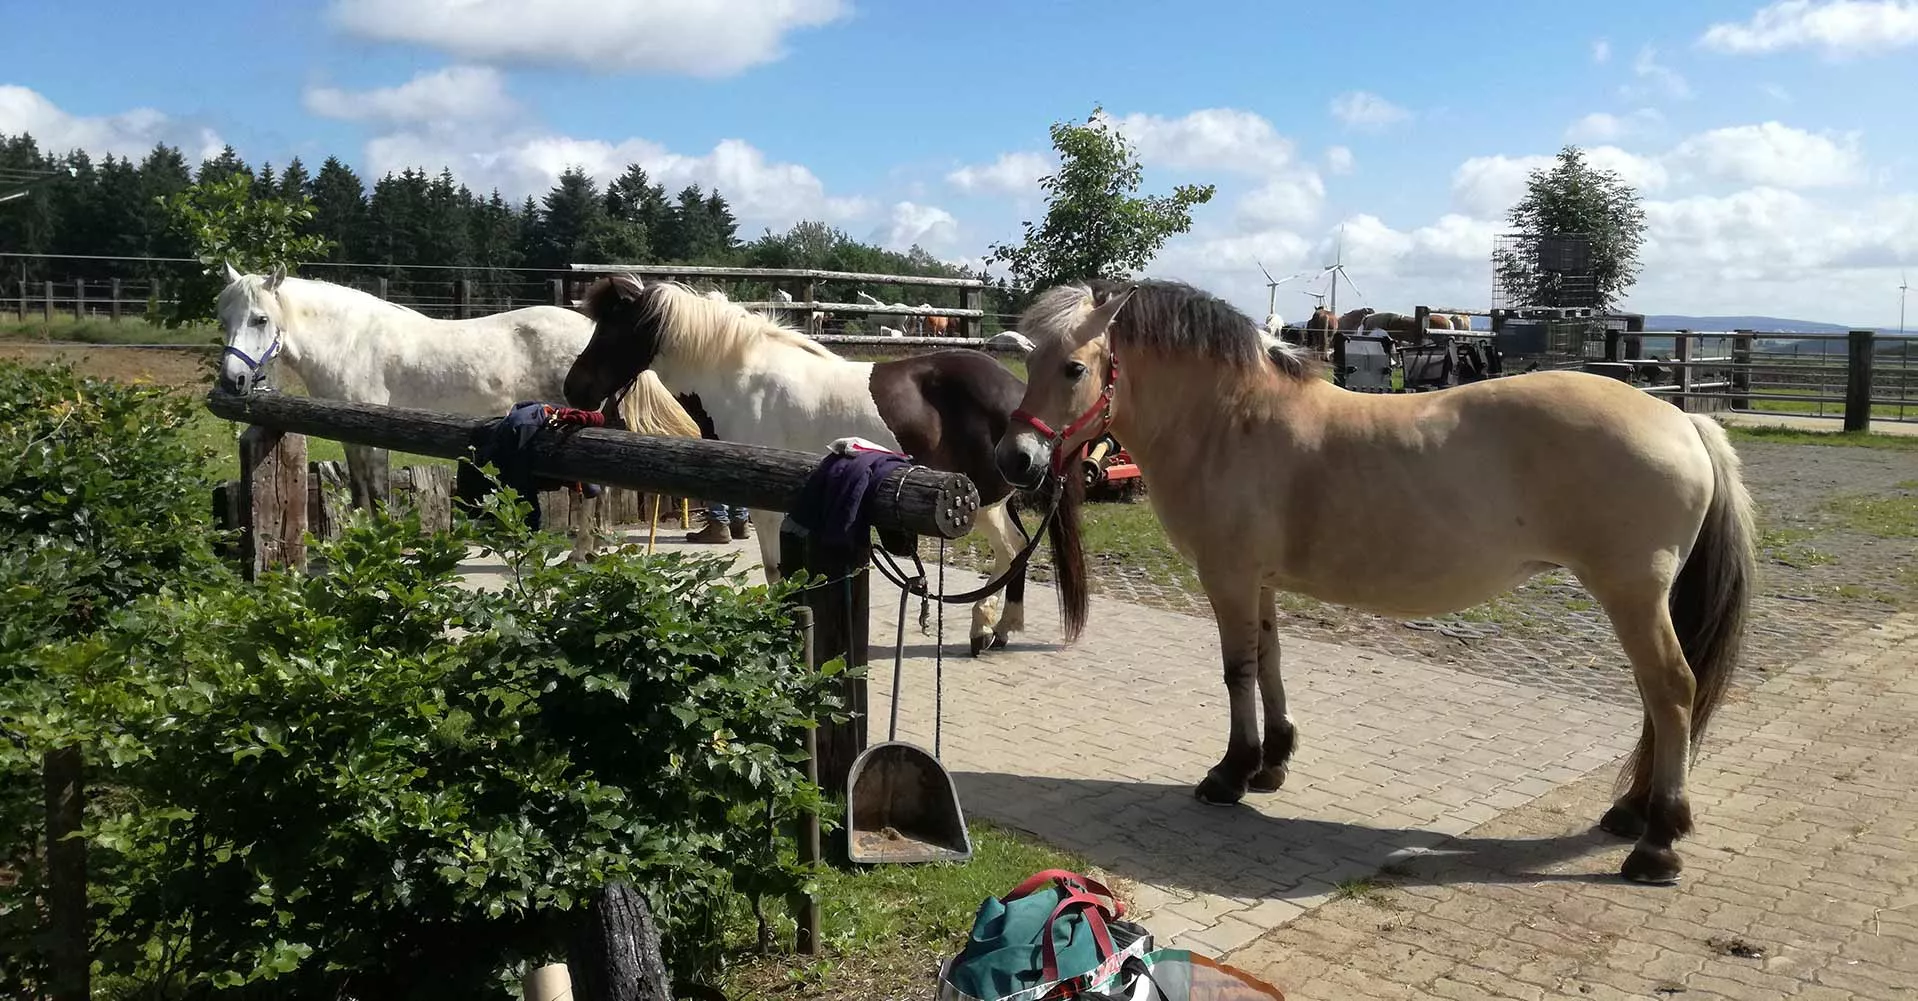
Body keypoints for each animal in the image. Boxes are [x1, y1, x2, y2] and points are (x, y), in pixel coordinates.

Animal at [211, 265, 670, 560]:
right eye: (223, 318)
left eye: (261, 318)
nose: (233, 380)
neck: (350, 341)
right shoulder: (350, 435)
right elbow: (360, 492)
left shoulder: (375, 432)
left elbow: (379, 492)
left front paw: (388, 548)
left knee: (591, 491)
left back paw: (579, 555)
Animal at [561, 275, 1091, 656]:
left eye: (613, 329)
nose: (573, 388)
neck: (740, 377)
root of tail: (1018, 394)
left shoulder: (766, 507)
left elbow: (774, 568)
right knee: (1019, 551)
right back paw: (1003, 627)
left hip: (986, 502)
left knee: (1012, 549)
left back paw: (984, 627)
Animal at [992, 278, 1755, 886]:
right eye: (1026, 360)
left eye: (1073, 366)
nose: (1015, 459)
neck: (1231, 420)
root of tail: (1683, 418)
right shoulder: (1259, 581)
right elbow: (1270, 660)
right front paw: (1272, 762)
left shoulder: (1228, 576)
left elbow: (1238, 671)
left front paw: (1231, 773)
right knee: (1657, 700)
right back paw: (1630, 813)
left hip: (1631, 594)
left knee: (1671, 691)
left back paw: (1657, 843)